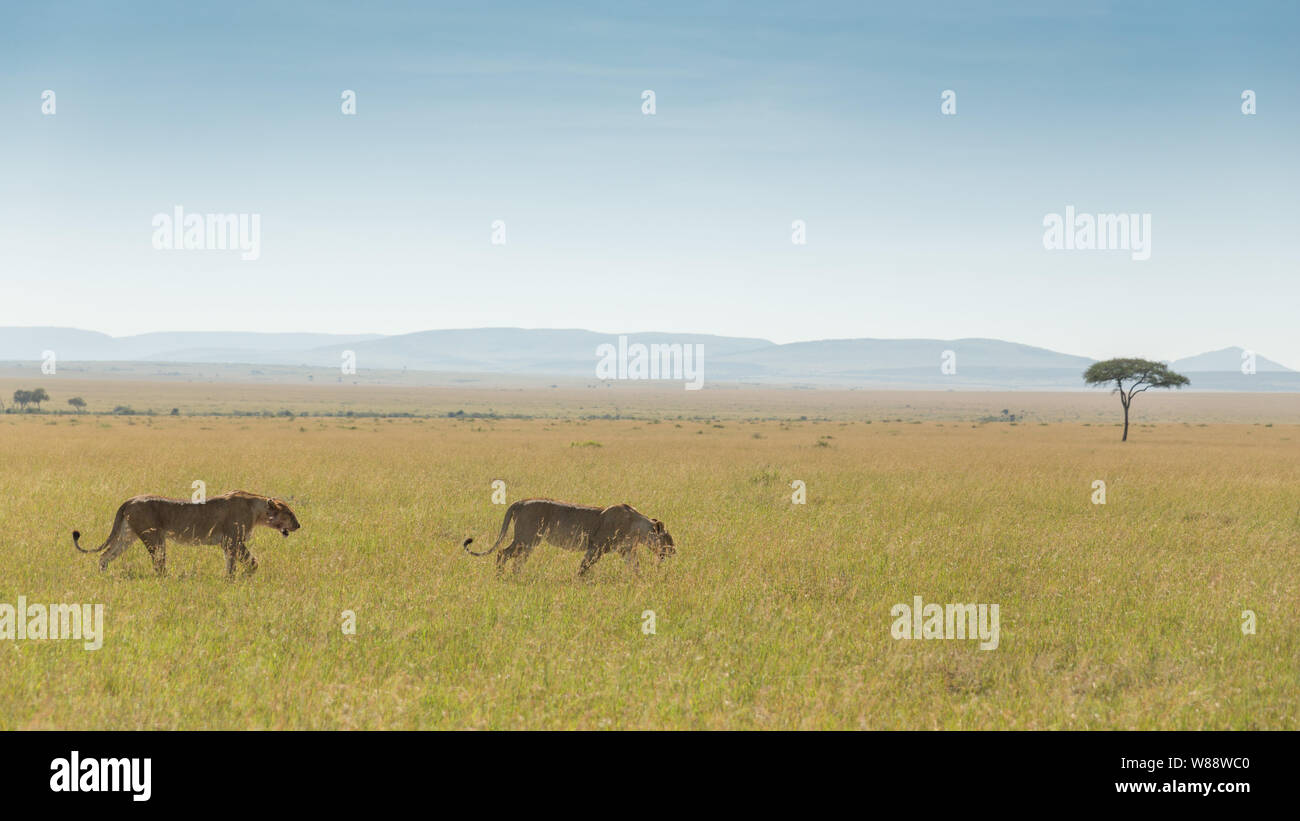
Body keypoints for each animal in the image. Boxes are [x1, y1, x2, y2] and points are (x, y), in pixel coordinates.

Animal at [73, 490, 300, 577]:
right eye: (289, 513)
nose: (298, 525)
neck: (257, 509)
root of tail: (131, 499)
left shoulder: (227, 543)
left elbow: (231, 563)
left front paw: (229, 579)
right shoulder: (233, 540)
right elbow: (252, 562)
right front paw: (243, 577)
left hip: (128, 536)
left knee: (105, 555)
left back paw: (103, 575)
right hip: (154, 537)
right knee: (159, 564)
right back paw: (168, 580)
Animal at [463, 498, 675, 577]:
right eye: (668, 539)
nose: (674, 551)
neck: (638, 528)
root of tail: (521, 502)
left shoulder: (627, 551)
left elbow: (636, 568)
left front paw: (641, 582)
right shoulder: (596, 547)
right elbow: (584, 567)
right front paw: (579, 582)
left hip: (531, 542)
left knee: (517, 560)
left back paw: (517, 576)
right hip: (525, 538)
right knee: (502, 553)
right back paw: (500, 576)